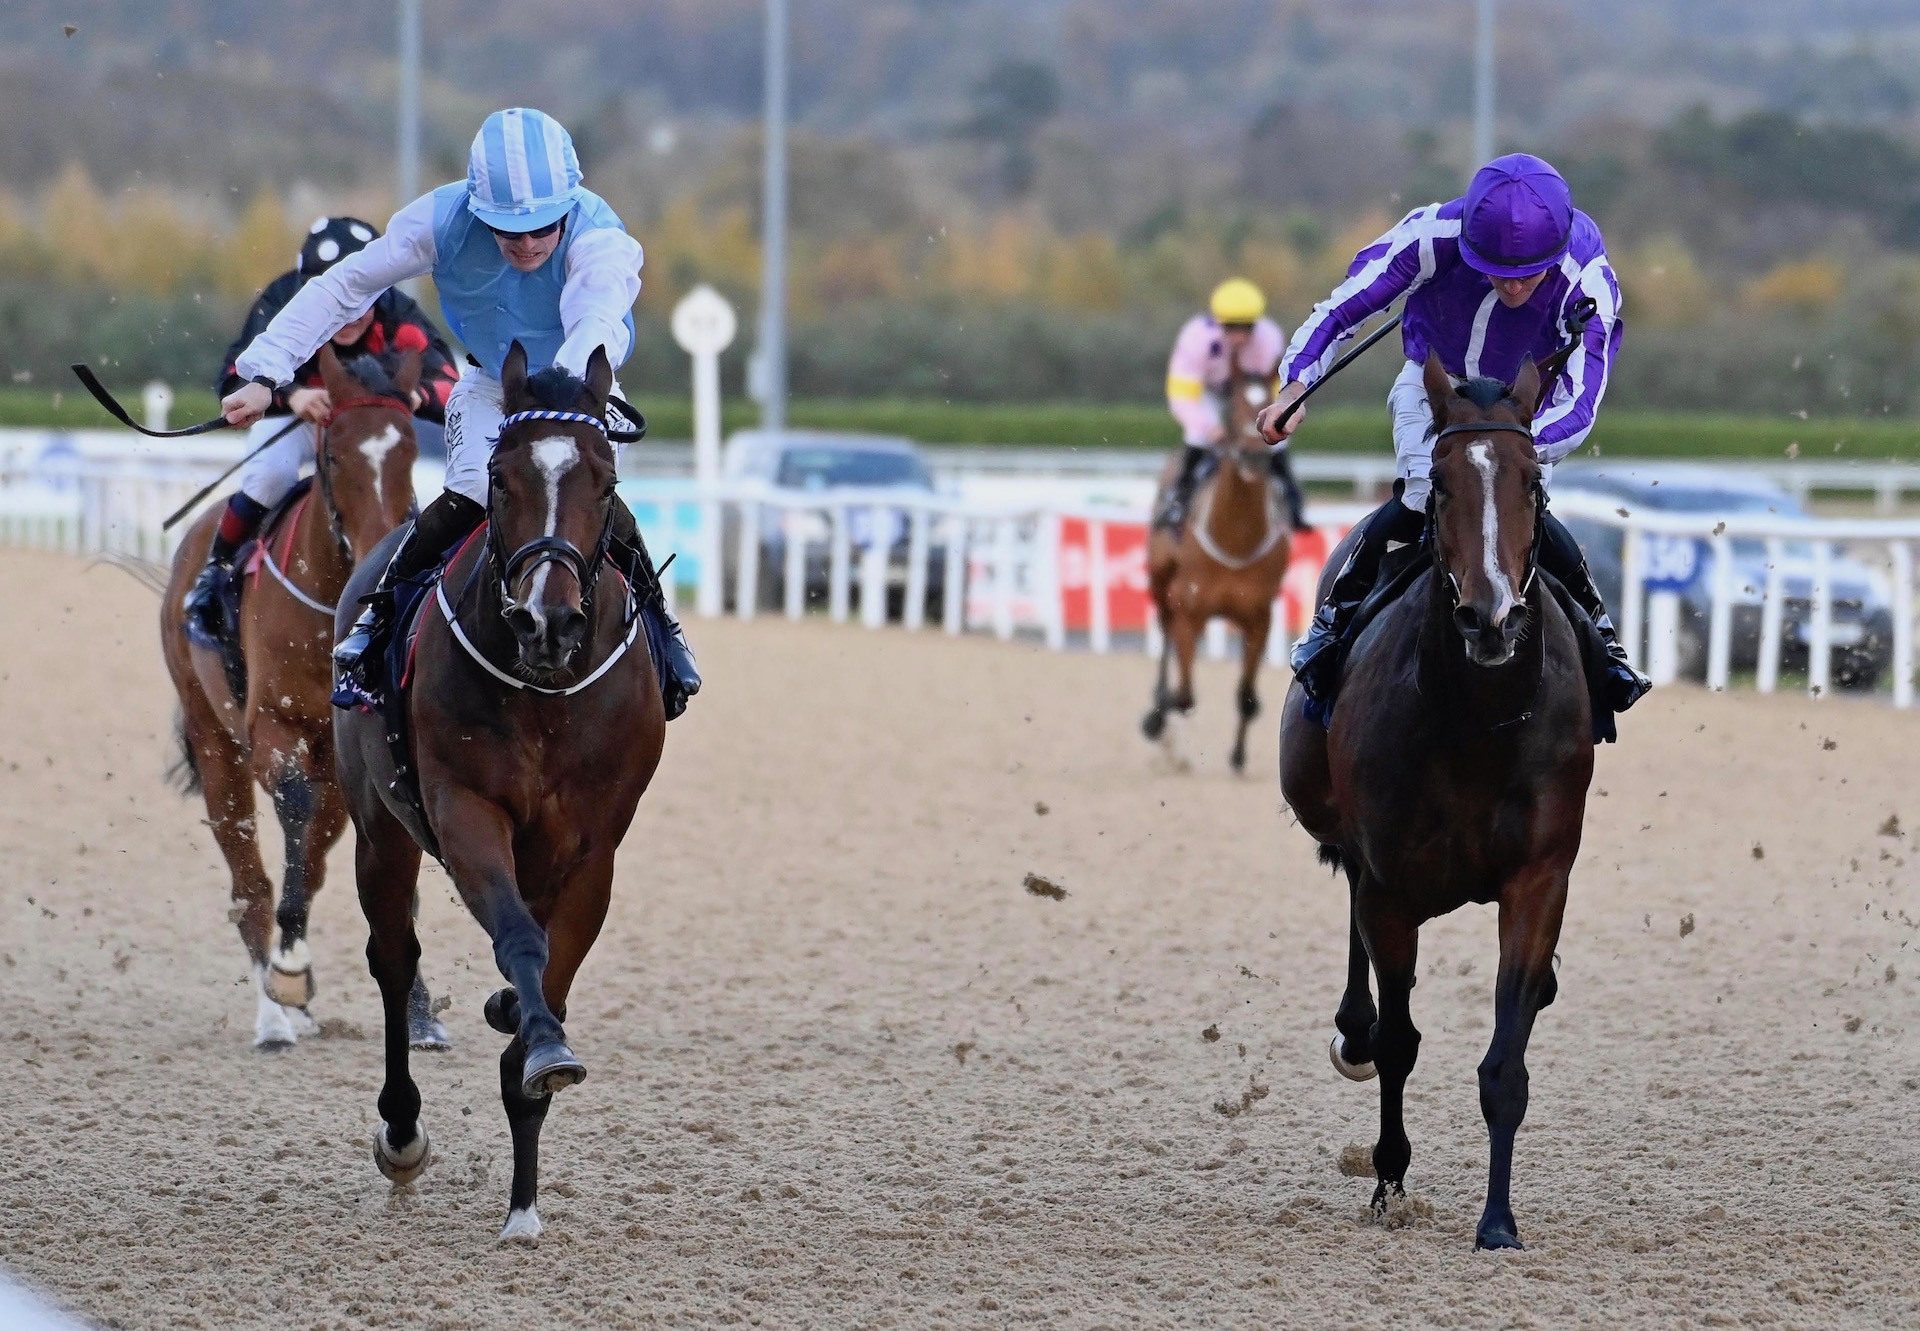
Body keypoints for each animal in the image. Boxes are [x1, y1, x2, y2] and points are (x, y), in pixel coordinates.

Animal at [160, 349, 445, 1052]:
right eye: (334, 454)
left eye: (407, 451)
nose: (384, 546)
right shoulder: (275, 729)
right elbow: (290, 821)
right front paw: (287, 974)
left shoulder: (360, 757)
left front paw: (420, 1012)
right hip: (215, 743)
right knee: (250, 879)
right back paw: (273, 1011)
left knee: (311, 859)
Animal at [341, 339, 672, 1236]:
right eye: (498, 476)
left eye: (606, 479)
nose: (545, 622)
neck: (543, 693)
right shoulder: (465, 814)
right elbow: (521, 941)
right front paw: (536, 1040)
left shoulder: (593, 850)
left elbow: (547, 978)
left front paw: (526, 1194)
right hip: (379, 828)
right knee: (394, 959)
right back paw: (401, 1129)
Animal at [1136, 359, 1290, 768]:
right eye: (1231, 409)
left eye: (1268, 401)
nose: (1253, 457)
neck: (1235, 541)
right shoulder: (1189, 608)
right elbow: (1184, 695)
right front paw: (1160, 721)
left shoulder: (1259, 618)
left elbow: (1246, 697)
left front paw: (1237, 755)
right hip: (1161, 585)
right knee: (1167, 642)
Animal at [1282, 353, 1597, 1244]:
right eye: (1445, 485)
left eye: (1533, 482)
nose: (1491, 618)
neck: (1478, 722)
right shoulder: (1391, 883)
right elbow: (1397, 1040)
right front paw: (1390, 1180)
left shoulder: (1538, 878)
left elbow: (1504, 1064)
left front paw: (1499, 1220)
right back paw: (1352, 1031)